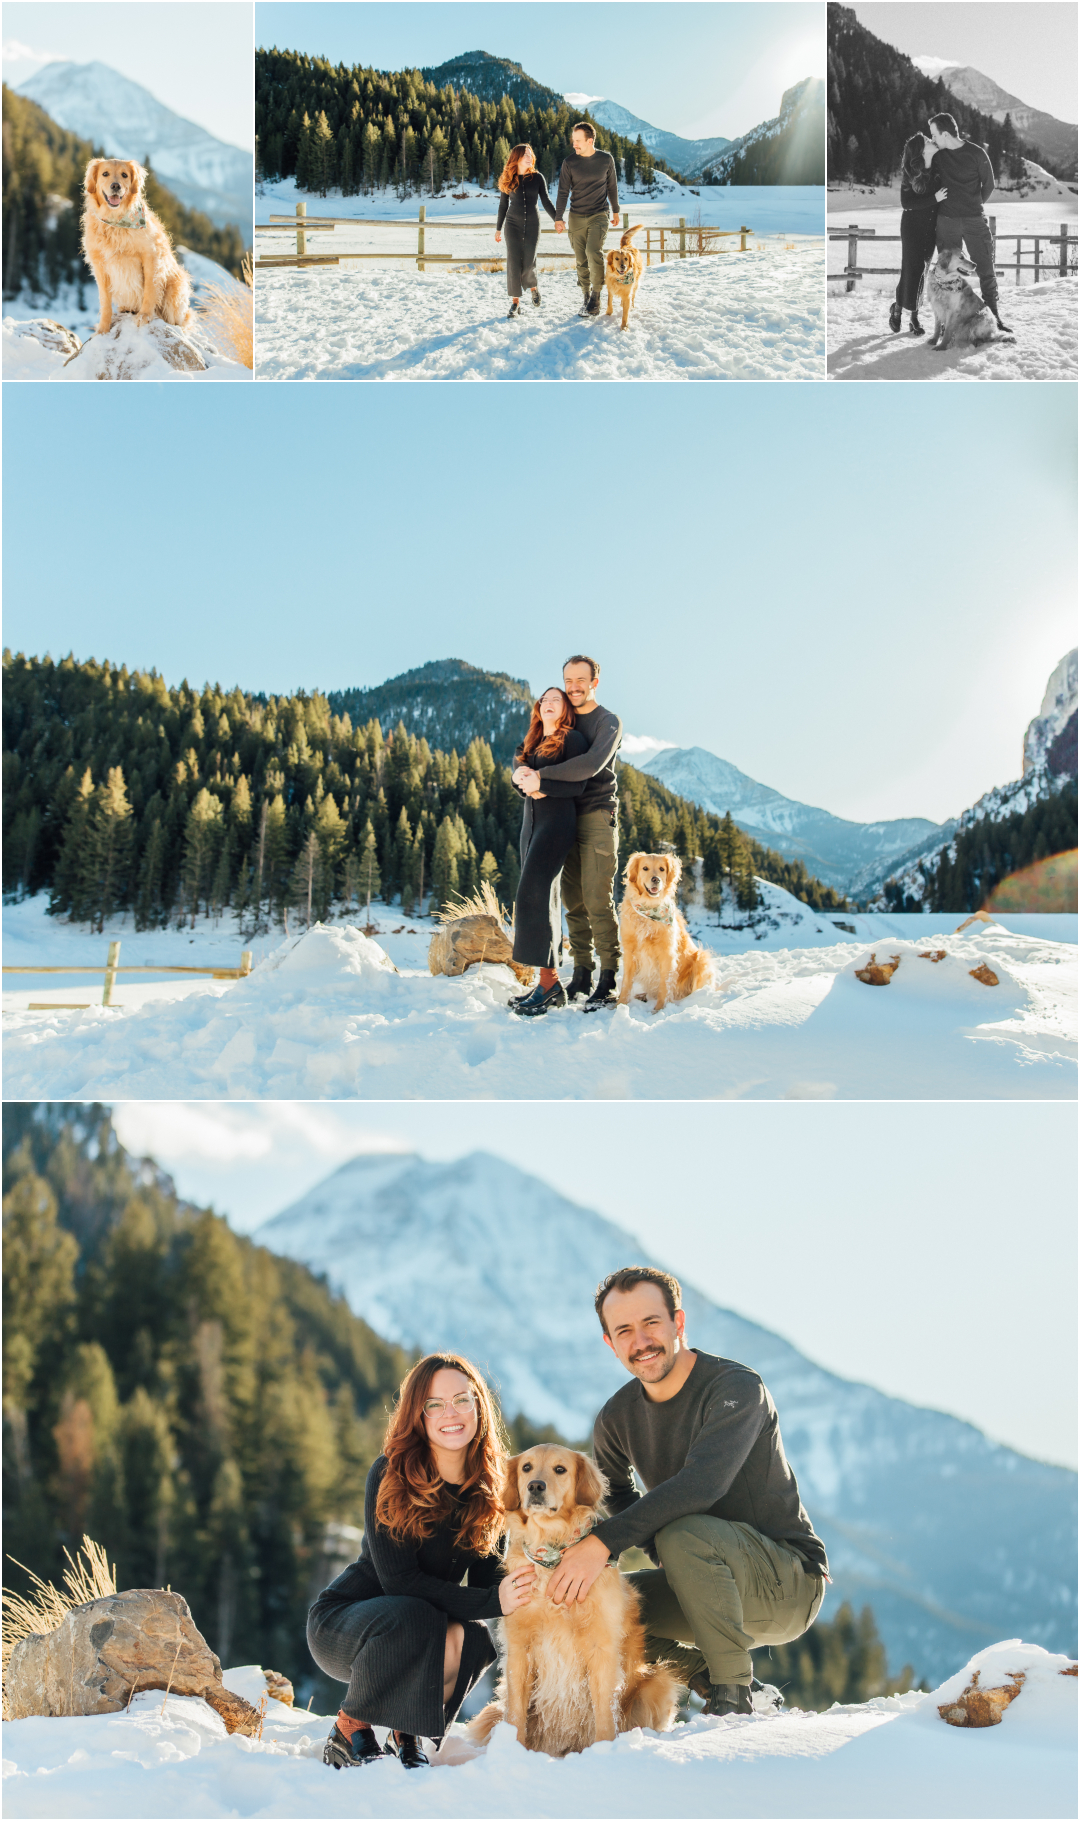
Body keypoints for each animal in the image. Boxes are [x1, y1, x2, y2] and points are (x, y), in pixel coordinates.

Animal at [81, 158, 191, 336]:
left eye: (124, 175)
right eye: (105, 174)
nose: (116, 186)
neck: (116, 222)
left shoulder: (151, 255)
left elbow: (149, 290)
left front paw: (144, 315)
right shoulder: (100, 265)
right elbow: (105, 302)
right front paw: (103, 328)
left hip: (175, 288)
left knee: (181, 321)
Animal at [469, 1442, 677, 1755]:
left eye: (560, 1469)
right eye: (526, 1467)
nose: (535, 1486)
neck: (552, 1551)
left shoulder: (601, 1647)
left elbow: (604, 1713)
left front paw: (603, 1751)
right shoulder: (519, 1647)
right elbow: (516, 1713)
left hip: (657, 1683)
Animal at [619, 852, 710, 1012]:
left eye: (662, 869)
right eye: (645, 868)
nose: (656, 879)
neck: (649, 907)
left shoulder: (667, 952)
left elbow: (664, 985)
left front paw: (658, 1010)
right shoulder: (630, 951)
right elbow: (626, 983)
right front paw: (619, 1006)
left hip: (701, 958)